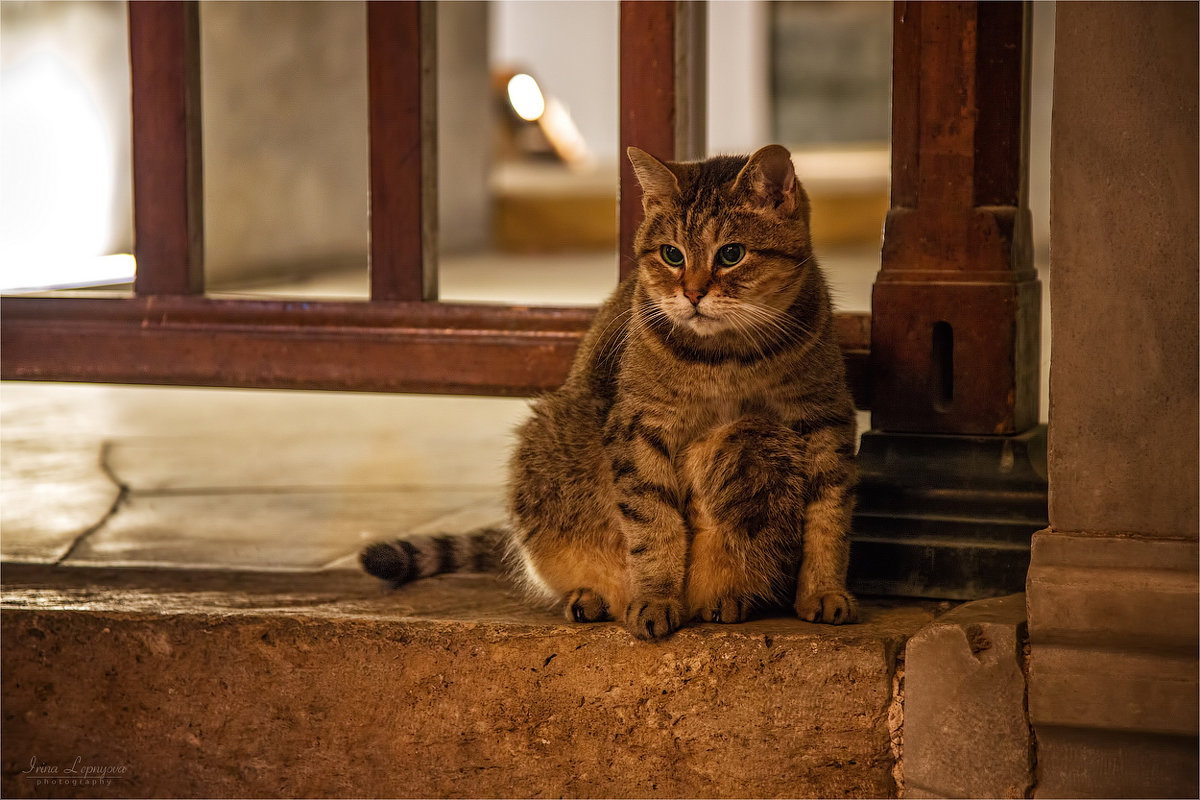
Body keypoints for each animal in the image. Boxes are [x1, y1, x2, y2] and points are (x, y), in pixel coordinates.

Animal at [360, 143, 859, 642]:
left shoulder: (826, 419)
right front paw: (656, 599)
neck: (728, 357)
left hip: (755, 439)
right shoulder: (640, 427)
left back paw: (730, 596)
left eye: (731, 253)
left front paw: (823, 592)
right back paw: (593, 597)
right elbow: (653, 525)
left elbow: (829, 520)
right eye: (672, 254)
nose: (693, 293)